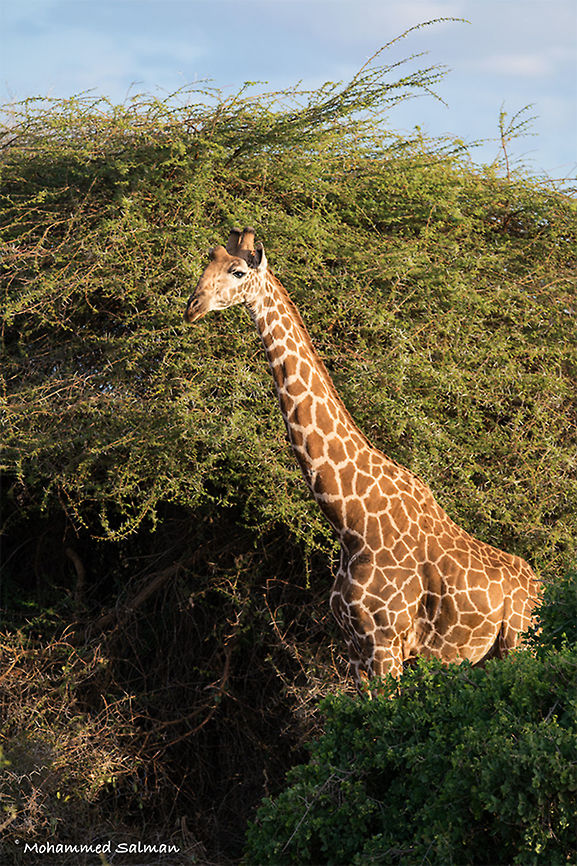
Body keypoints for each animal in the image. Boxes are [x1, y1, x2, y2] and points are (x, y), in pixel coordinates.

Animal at [184, 227, 540, 686]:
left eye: (238, 271)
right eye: (207, 260)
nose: (192, 307)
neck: (349, 519)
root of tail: (543, 589)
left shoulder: (385, 645)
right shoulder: (355, 650)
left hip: (521, 644)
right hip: (487, 656)